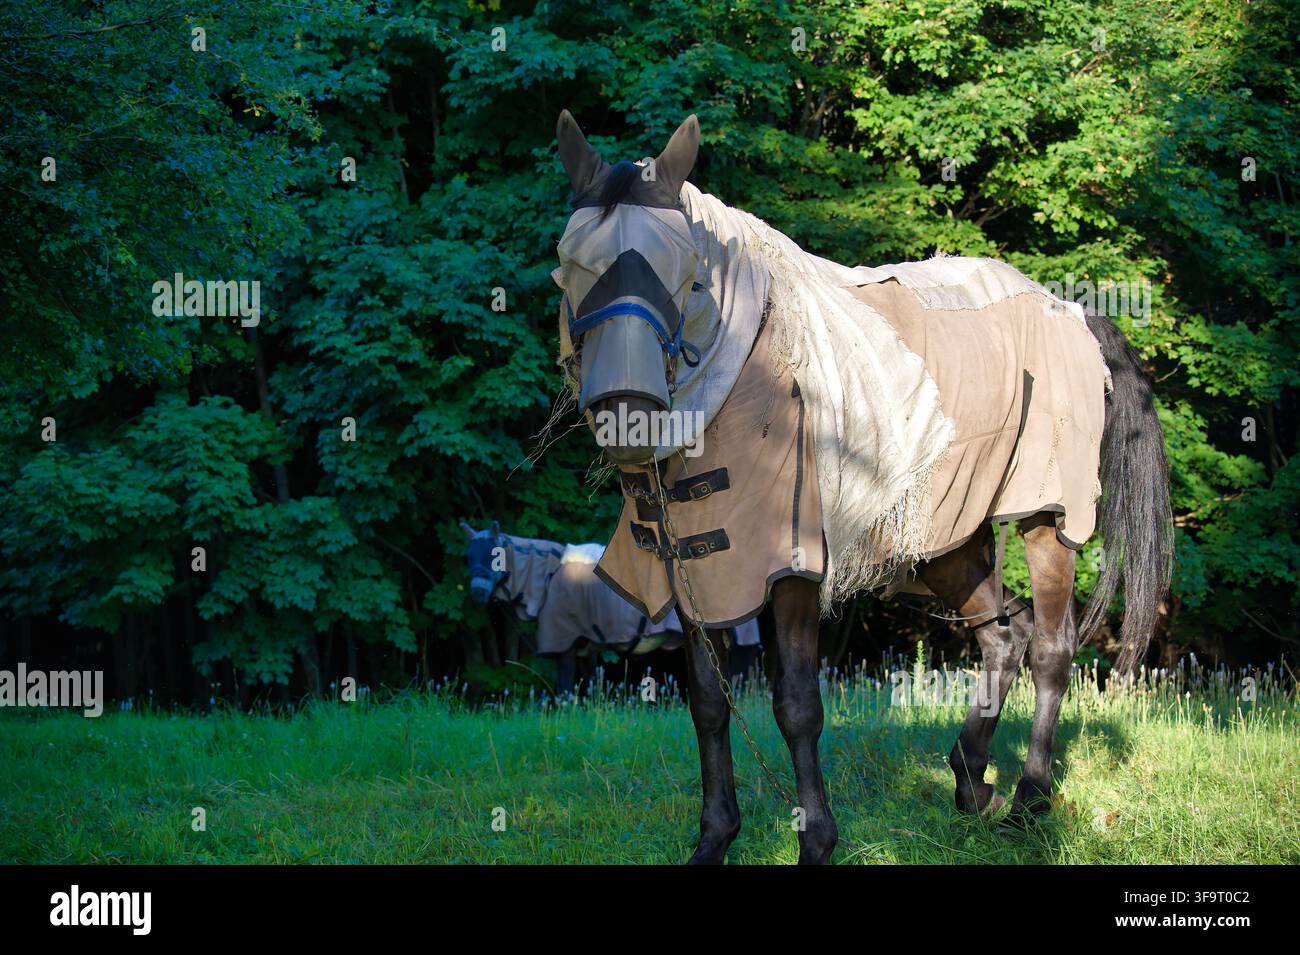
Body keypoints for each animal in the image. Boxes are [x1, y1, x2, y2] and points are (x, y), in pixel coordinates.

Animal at [460, 522, 760, 693]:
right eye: (468, 556)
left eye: (493, 556)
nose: (476, 593)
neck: (548, 577)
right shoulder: (587, 648)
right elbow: (589, 686)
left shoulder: (566, 645)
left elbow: (565, 690)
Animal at [550, 110, 1173, 864]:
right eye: (570, 265)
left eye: (687, 276)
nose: (626, 414)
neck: (746, 373)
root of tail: (1073, 311)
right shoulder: (697, 571)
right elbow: (707, 702)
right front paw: (715, 838)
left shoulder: (791, 569)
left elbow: (796, 704)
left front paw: (815, 840)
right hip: (945, 536)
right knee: (1005, 633)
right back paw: (971, 778)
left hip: (1045, 517)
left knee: (1052, 648)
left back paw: (1028, 799)